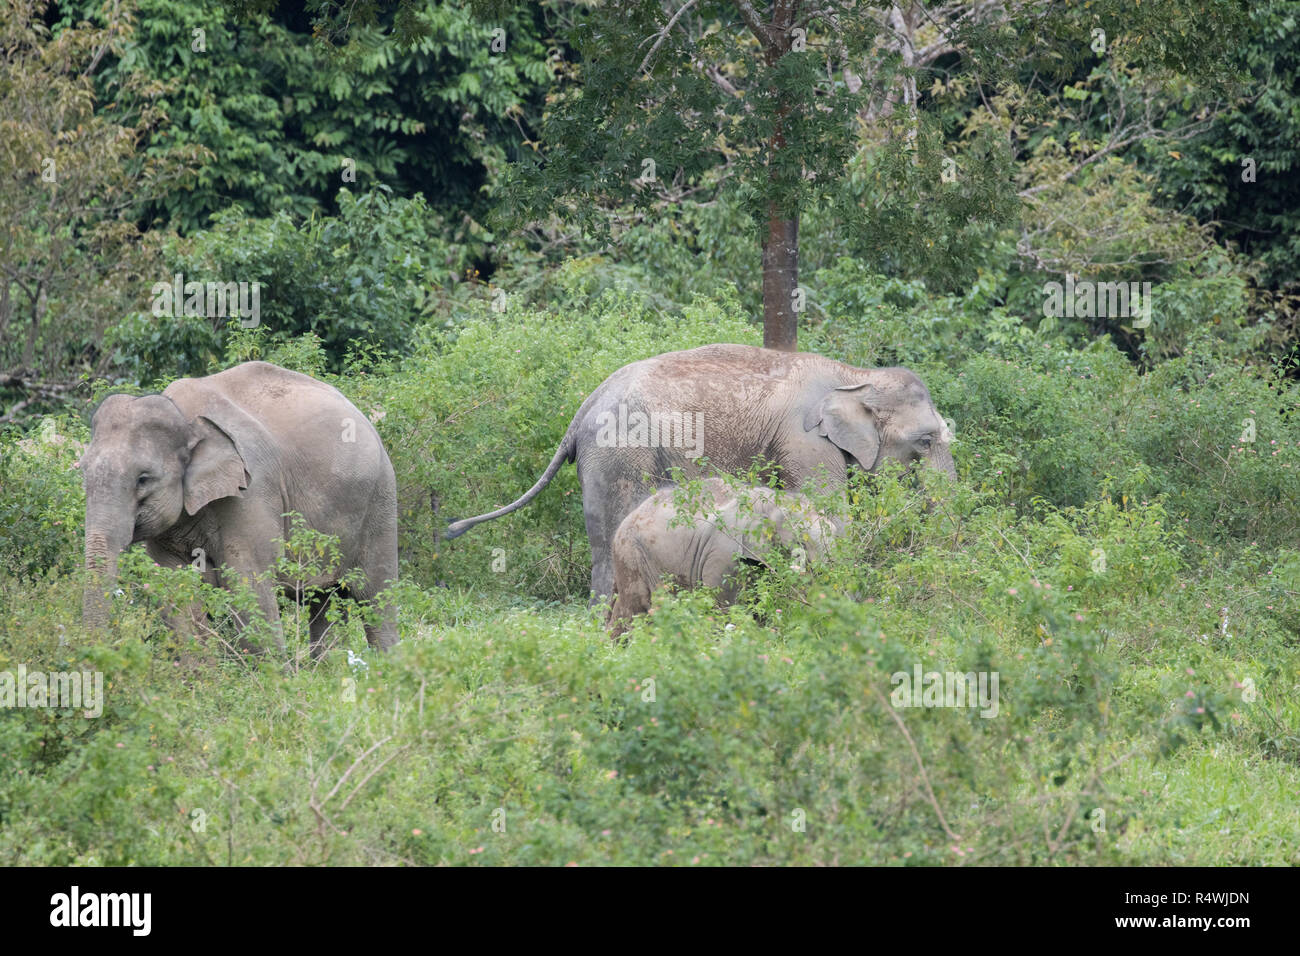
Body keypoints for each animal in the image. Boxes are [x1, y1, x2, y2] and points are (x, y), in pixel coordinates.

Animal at [79, 361, 397, 658]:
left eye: (143, 479)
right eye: (82, 472)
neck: (184, 415)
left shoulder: (252, 492)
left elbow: (248, 583)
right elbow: (176, 588)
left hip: (380, 499)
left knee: (376, 598)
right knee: (323, 600)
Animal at [447, 343, 956, 598]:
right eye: (926, 441)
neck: (855, 374)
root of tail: (583, 409)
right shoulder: (805, 441)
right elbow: (829, 512)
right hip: (622, 453)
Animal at [605, 478, 837, 634]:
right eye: (801, 542)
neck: (769, 502)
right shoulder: (724, 555)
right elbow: (724, 605)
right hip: (632, 555)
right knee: (634, 609)